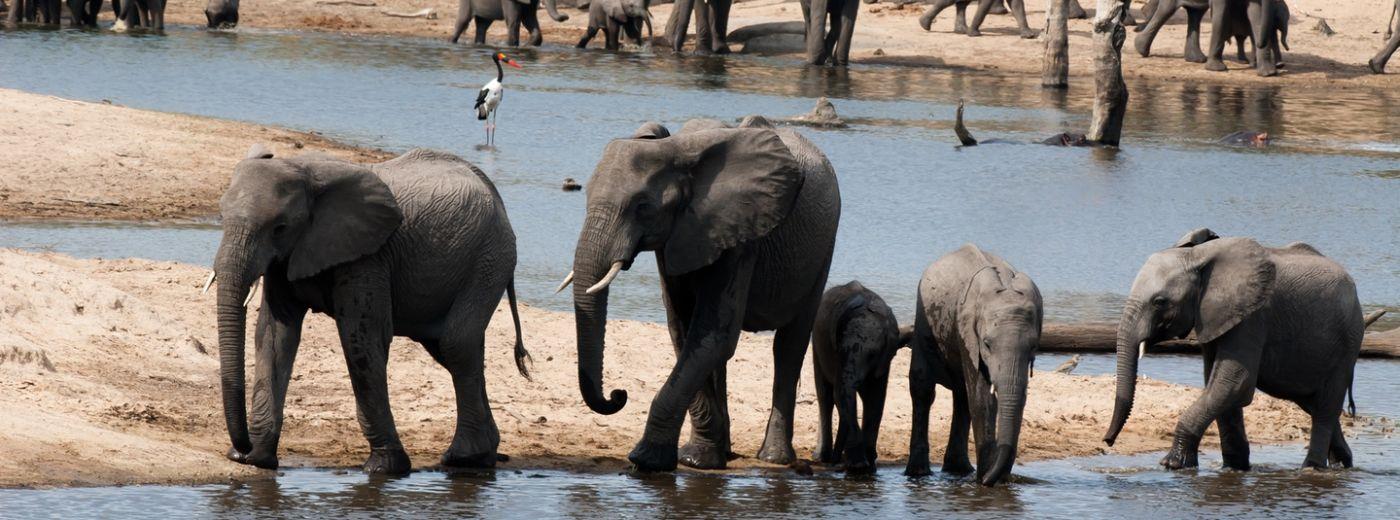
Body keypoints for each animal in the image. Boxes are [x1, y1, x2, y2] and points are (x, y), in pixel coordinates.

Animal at [212, 143, 529, 476]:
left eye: (280, 228)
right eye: (221, 216)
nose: (241, 448)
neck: (303, 170)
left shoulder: (368, 255)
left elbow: (362, 339)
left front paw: (384, 467)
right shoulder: (287, 258)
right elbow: (275, 335)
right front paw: (258, 459)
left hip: (491, 258)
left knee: (457, 344)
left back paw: (464, 458)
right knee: (452, 349)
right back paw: (482, 456)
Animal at [560, 117, 840, 473]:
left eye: (642, 207)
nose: (617, 394)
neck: (676, 149)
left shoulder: (739, 235)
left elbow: (712, 336)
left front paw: (648, 461)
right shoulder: (679, 236)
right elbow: (684, 332)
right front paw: (698, 460)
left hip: (822, 249)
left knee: (789, 346)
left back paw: (774, 458)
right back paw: (728, 452)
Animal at [812, 283, 907, 473]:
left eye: (872, 355)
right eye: (840, 349)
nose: (836, 462)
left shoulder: (884, 361)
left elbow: (874, 399)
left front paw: (864, 466)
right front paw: (860, 466)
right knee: (828, 396)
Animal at [907, 246, 1041, 487]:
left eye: (1034, 346)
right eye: (986, 344)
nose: (989, 480)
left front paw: (995, 480)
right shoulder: (968, 332)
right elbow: (982, 399)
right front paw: (987, 482)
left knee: (962, 397)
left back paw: (958, 470)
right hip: (924, 320)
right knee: (923, 387)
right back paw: (919, 473)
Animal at [1097, 228, 1360, 473]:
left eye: (1159, 302)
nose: (1107, 441)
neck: (1197, 256)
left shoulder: (1253, 317)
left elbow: (1233, 382)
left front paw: (1173, 464)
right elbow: (1218, 385)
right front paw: (1234, 468)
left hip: (1347, 344)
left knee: (1326, 405)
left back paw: (1312, 467)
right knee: (1311, 403)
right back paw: (1343, 463)